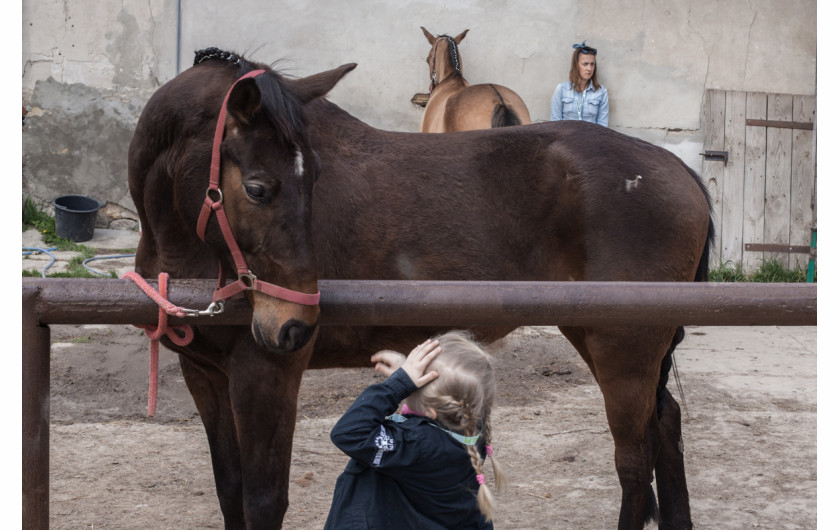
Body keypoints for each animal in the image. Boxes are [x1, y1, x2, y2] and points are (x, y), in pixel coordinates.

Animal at [128, 47, 712, 524]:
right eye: (258, 188)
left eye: (313, 177)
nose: (294, 327)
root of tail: (679, 171)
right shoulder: (206, 374)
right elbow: (230, 492)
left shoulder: (266, 373)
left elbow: (263, 500)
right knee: (665, 426)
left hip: (623, 348)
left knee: (634, 463)